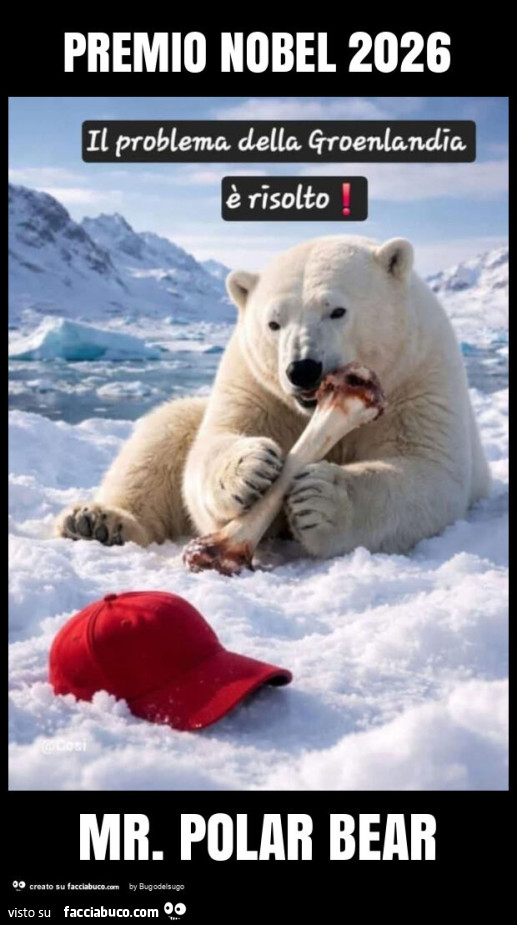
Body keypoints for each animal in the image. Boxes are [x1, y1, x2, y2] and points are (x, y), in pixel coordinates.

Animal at [56, 235, 490, 559]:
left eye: (337, 310)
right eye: (273, 322)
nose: (303, 369)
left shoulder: (419, 375)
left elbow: (427, 468)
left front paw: (319, 499)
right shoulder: (255, 382)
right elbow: (214, 442)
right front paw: (250, 468)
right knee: (165, 434)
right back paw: (95, 521)